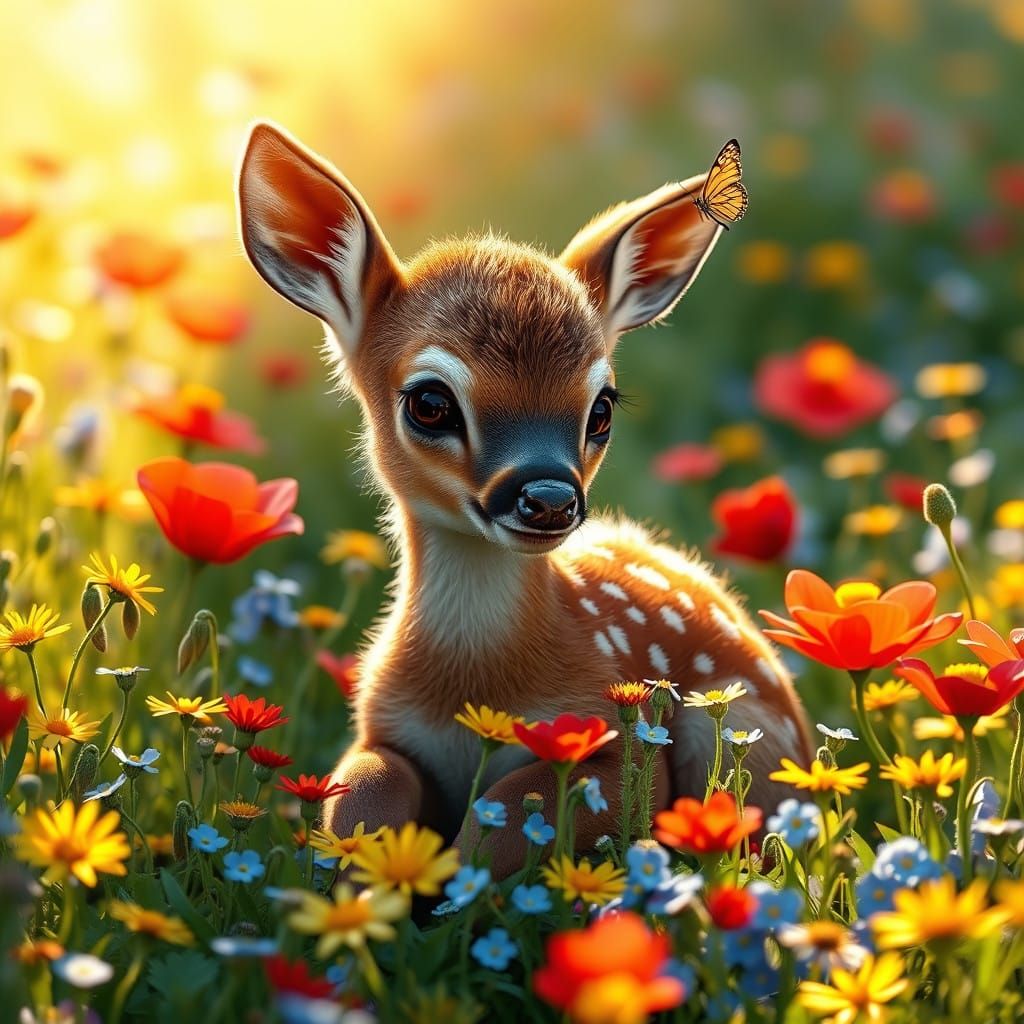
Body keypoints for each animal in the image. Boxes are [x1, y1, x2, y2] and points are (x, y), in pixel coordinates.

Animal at [236, 122, 813, 874]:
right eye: (429, 403)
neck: (473, 684)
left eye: (602, 408)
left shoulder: (618, 738)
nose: (549, 500)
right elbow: (363, 794)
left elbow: (512, 808)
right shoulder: (380, 727)